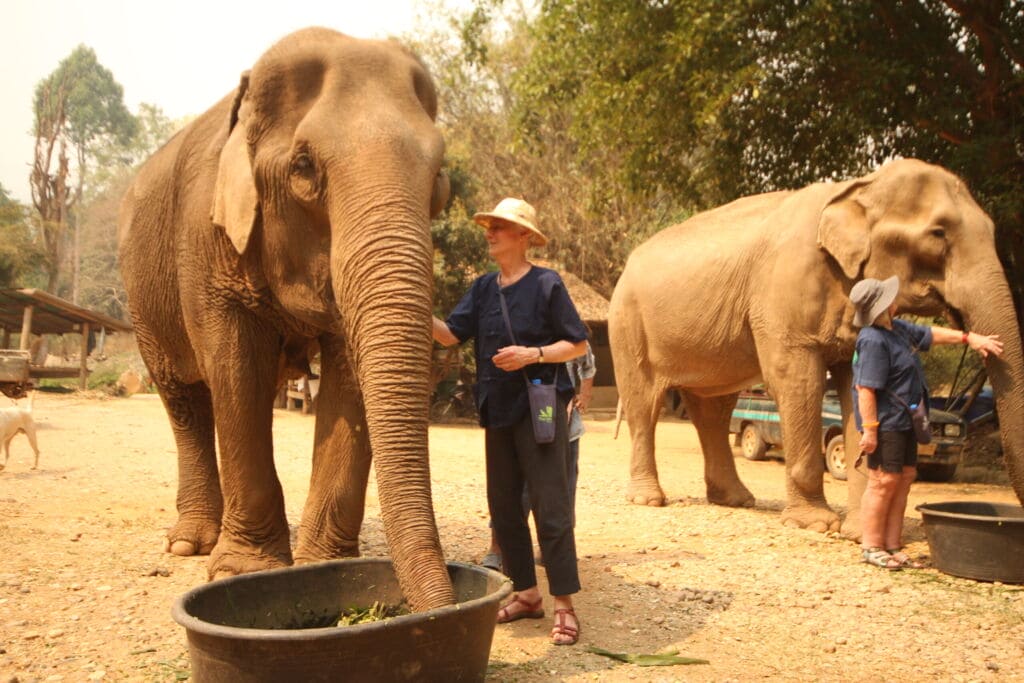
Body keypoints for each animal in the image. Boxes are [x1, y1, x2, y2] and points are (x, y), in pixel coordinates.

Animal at [117, 28, 455, 611]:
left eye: (439, 178)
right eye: (303, 167)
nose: (459, 606)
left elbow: (348, 375)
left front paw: (326, 567)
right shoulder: (205, 242)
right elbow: (236, 370)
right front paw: (241, 570)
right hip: (143, 297)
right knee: (183, 399)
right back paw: (190, 544)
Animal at [609, 158, 1024, 538]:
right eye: (938, 233)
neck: (858, 187)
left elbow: (859, 387)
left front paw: (858, 532)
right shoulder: (783, 296)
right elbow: (797, 381)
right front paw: (816, 524)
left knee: (713, 409)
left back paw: (737, 500)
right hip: (627, 325)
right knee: (644, 403)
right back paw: (648, 499)